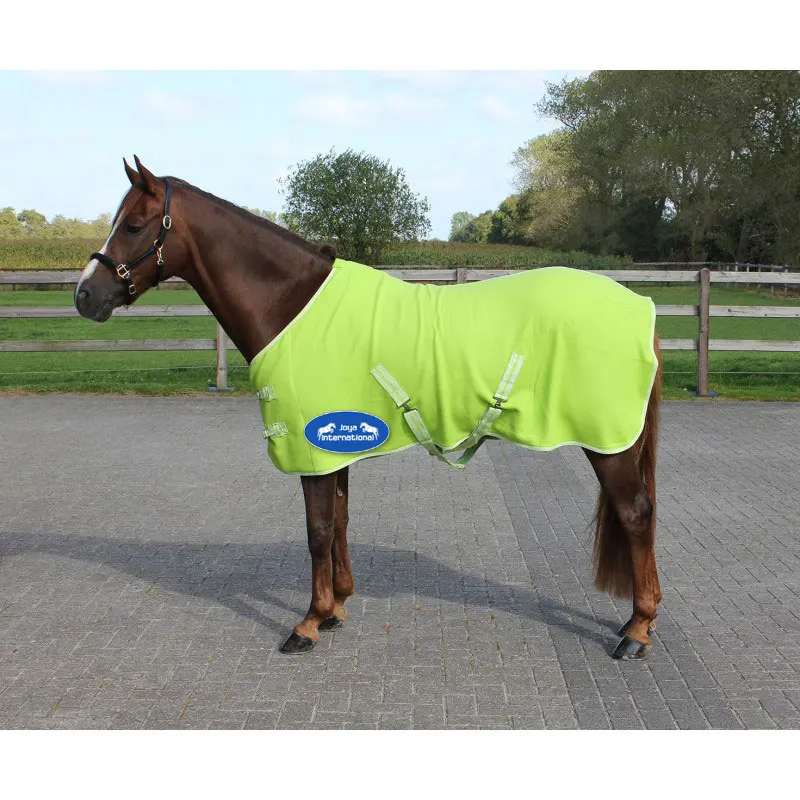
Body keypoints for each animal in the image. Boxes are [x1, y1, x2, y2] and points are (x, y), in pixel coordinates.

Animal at [75, 156, 663, 660]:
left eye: (134, 225)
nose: (85, 296)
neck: (291, 304)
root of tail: (640, 305)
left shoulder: (311, 447)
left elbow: (316, 530)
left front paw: (308, 623)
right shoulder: (333, 446)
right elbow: (338, 521)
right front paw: (336, 606)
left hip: (608, 442)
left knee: (636, 514)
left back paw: (636, 632)